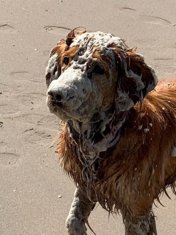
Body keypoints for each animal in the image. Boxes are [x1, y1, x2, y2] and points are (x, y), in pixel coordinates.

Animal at [45, 28, 176, 235]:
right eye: (66, 59)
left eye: (99, 69)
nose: (56, 94)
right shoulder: (86, 186)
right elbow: (73, 221)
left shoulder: (136, 209)